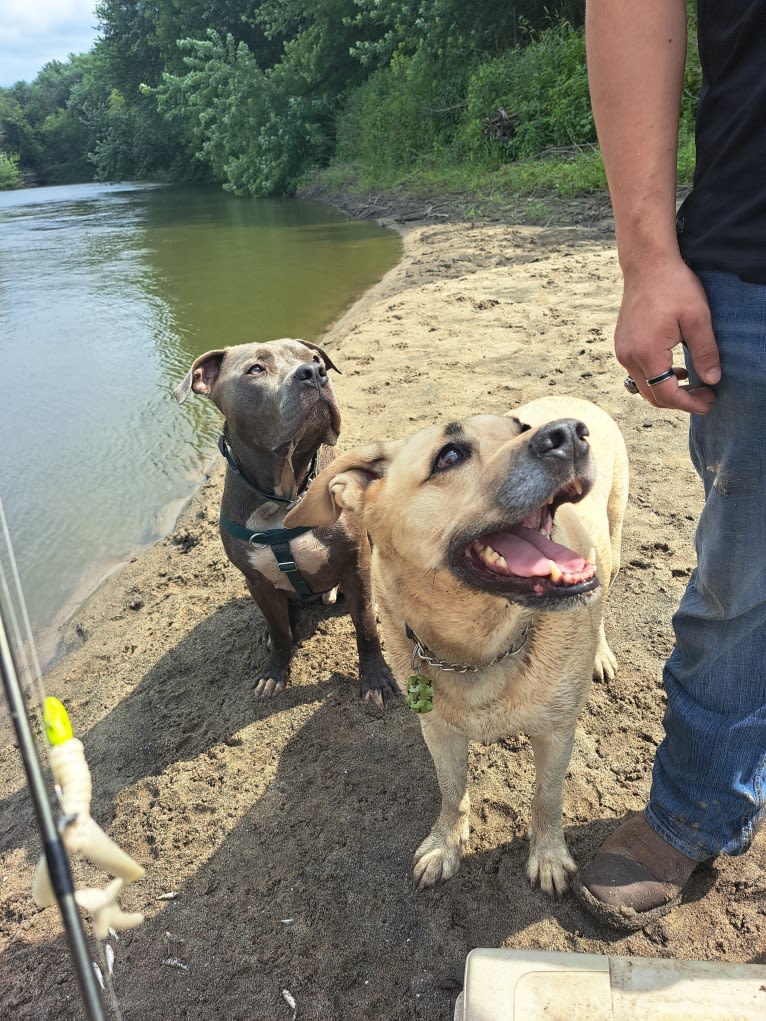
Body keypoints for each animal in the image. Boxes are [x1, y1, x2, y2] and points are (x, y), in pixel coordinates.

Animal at [174, 338, 398, 706]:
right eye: (255, 369)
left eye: (314, 357)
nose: (314, 372)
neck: (288, 492)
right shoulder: (257, 581)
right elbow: (281, 634)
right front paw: (274, 673)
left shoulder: (354, 560)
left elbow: (365, 627)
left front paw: (376, 679)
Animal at [288, 396, 629, 894]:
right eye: (449, 456)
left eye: (520, 428)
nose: (569, 433)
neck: (480, 646)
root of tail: (577, 400)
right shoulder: (437, 729)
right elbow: (452, 792)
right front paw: (445, 844)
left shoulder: (556, 731)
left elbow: (547, 796)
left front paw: (548, 856)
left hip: (613, 541)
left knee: (603, 594)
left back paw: (600, 652)